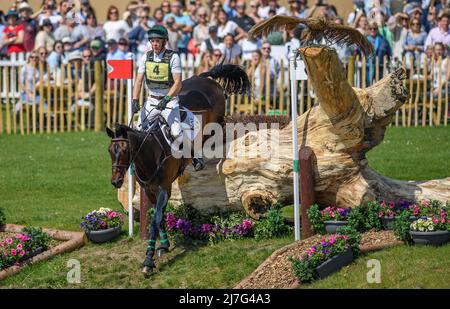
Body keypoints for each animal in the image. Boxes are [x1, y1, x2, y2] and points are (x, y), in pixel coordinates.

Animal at [107, 63, 251, 274]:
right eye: (110, 150)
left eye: (125, 150)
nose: (116, 181)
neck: (151, 153)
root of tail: (204, 78)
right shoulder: (150, 190)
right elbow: (159, 218)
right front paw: (164, 245)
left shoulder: (163, 189)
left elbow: (155, 220)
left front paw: (149, 260)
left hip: (216, 121)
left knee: (219, 130)